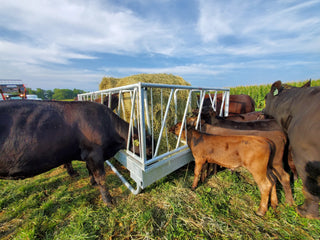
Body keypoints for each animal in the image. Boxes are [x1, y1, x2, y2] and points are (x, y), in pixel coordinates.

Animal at [0, 100, 134, 205]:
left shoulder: (87, 156)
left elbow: (89, 170)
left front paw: (93, 183)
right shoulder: (94, 155)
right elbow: (101, 178)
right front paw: (109, 201)